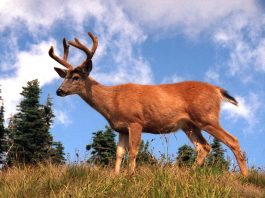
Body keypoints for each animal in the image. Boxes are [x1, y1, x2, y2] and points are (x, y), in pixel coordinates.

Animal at [48, 31, 248, 176]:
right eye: (64, 76)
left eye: (76, 77)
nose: (59, 91)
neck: (112, 101)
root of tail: (217, 90)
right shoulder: (121, 128)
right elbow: (119, 153)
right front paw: (116, 176)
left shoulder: (135, 121)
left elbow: (134, 150)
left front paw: (131, 175)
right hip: (190, 125)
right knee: (204, 146)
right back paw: (188, 173)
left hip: (206, 116)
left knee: (233, 140)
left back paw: (244, 176)